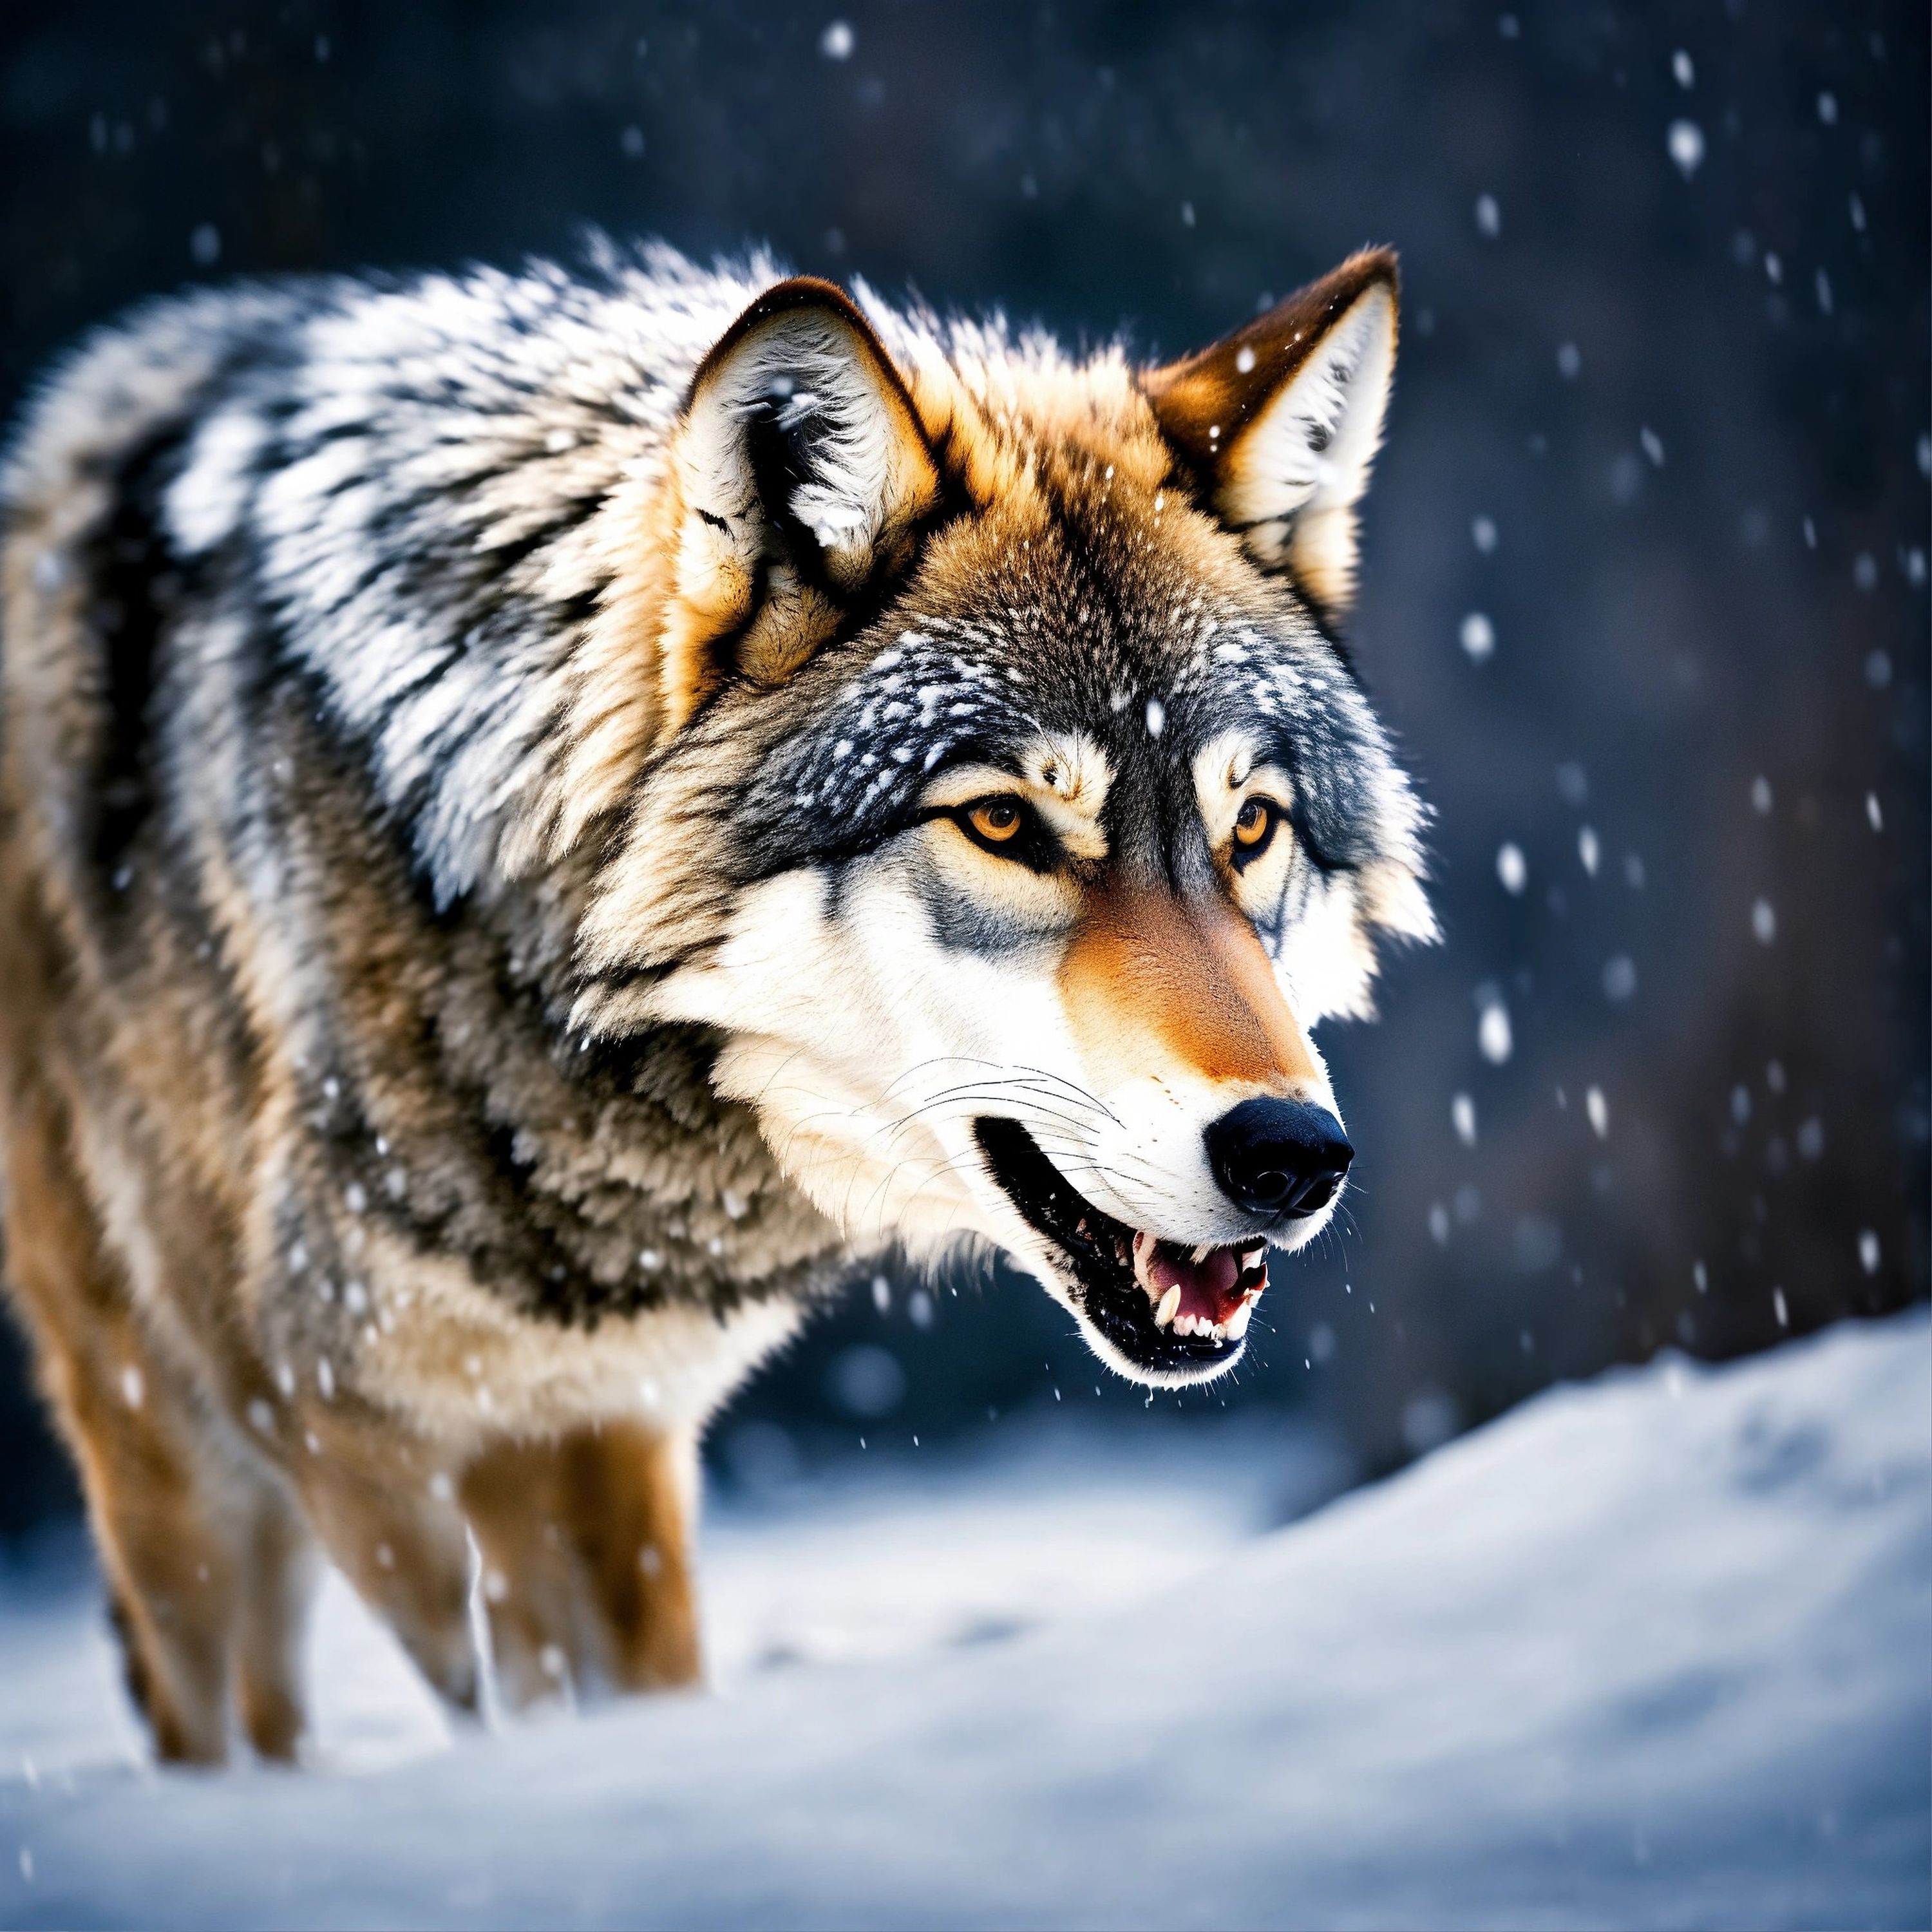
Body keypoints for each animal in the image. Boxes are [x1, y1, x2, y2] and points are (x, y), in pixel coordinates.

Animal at [0, 241, 1431, 1761]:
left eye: (1251, 827)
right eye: (1002, 823)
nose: (1293, 1155)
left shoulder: (610, 1428)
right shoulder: (351, 1436)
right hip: (180, 1452)